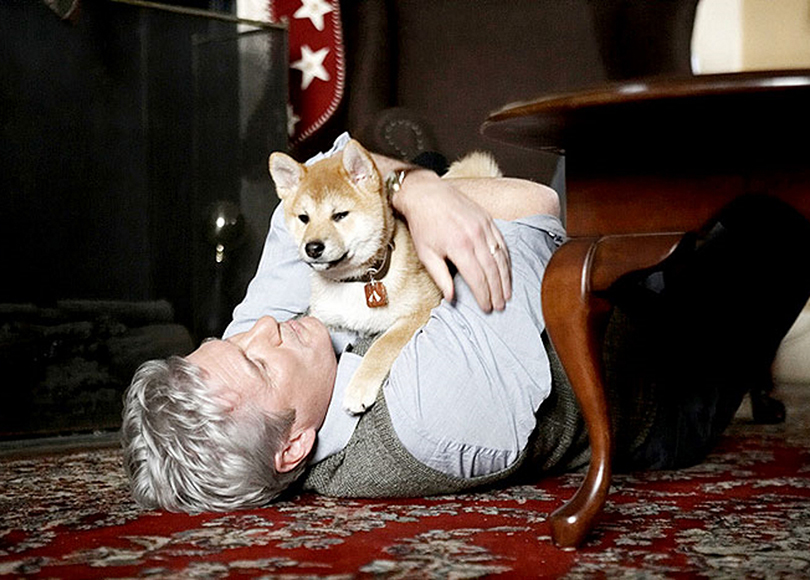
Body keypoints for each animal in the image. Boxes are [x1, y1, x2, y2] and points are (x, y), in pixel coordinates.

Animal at [269, 139, 500, 413]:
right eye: (303, 218)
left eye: (340, 215)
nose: (312, 248)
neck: (356, 282)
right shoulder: (327, 321)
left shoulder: (422, 309)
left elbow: (382, 345)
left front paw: (359, 385)